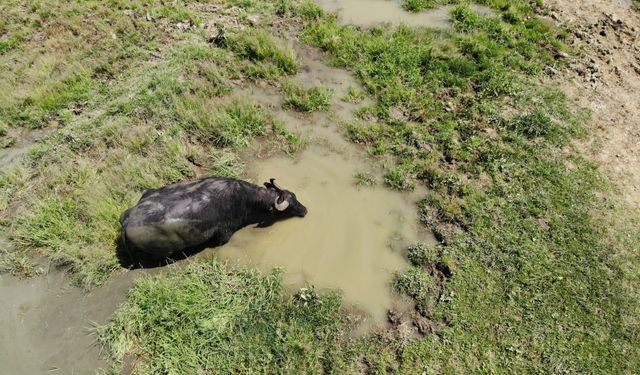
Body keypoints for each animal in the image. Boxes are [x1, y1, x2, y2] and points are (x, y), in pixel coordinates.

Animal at [120, 177, 310, 262]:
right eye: (291, 205)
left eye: (295, 196)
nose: (305, 210)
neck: (244, 198)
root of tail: (129, 218)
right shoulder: (224, 234)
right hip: (164, 253)